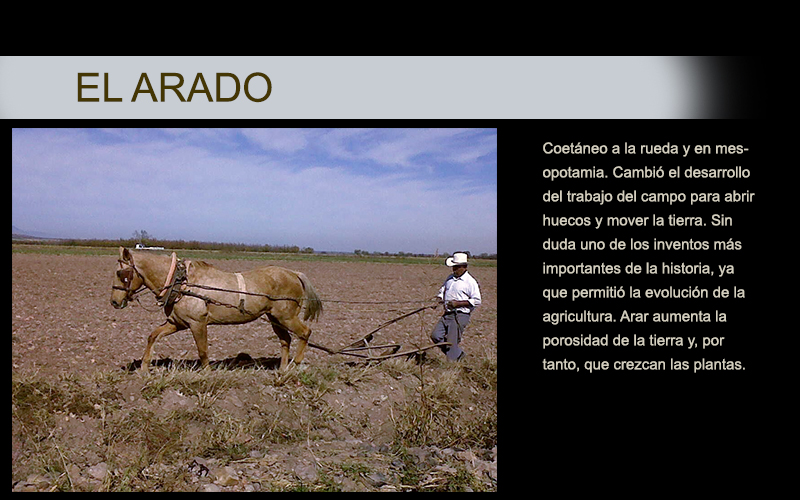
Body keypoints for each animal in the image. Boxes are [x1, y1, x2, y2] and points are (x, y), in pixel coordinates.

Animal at [110, 246, 322, 371]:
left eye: (121, 273)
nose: (114, 302)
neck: (182, 283)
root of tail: (293, 273)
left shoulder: (198, 323)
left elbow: (203, 350)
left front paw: (207, 374)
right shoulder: (177, 323)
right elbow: (153, 336)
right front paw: (144, 367)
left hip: (286, 317)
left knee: (305, 333)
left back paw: (295, 366)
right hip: (274, 319)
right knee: (286, 340)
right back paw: (282, 370)